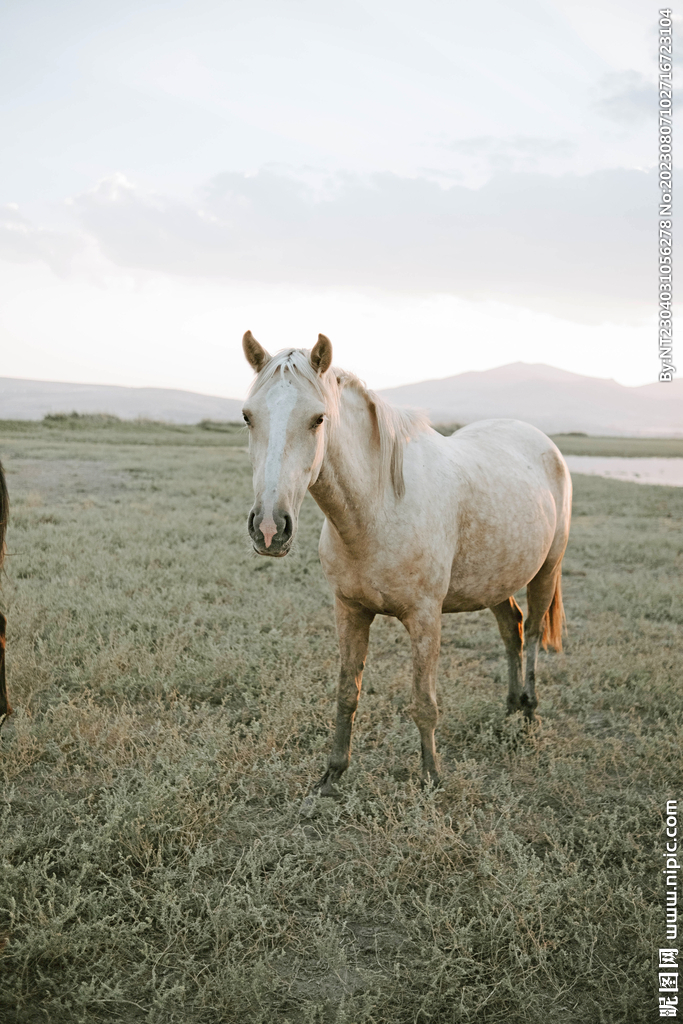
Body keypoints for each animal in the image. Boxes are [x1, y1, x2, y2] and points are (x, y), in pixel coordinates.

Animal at [241, 332, 571, 794]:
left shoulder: (425, 618)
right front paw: (332, 775)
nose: (270, 528)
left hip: (546, 570)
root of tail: (542, 442)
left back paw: (528, 711)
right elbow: (347, 693)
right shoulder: (350, 610)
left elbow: (424, 704)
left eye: (318, 419)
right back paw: (509, 709)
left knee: (537, 633)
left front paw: (432, 778)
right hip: (496, 582)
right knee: (514, 630)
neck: (379, 507)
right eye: (248, 417)